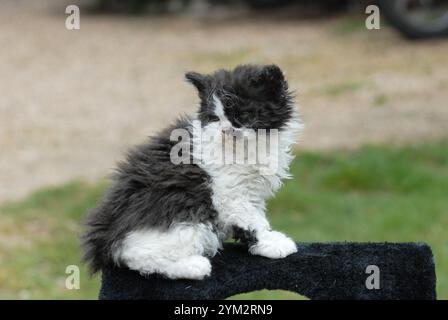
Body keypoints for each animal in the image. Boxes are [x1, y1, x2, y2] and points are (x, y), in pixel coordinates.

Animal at [82, 63, 302, 278]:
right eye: (215, 118)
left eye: (243, 115)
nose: (225, 130)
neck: (246, 149)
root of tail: (105, 234)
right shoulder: (231, 194)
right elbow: (253, 221)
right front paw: (272, 243)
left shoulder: (252, 192)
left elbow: (254, 216)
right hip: (183, 217)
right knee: (137, 255)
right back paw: (194, 266)